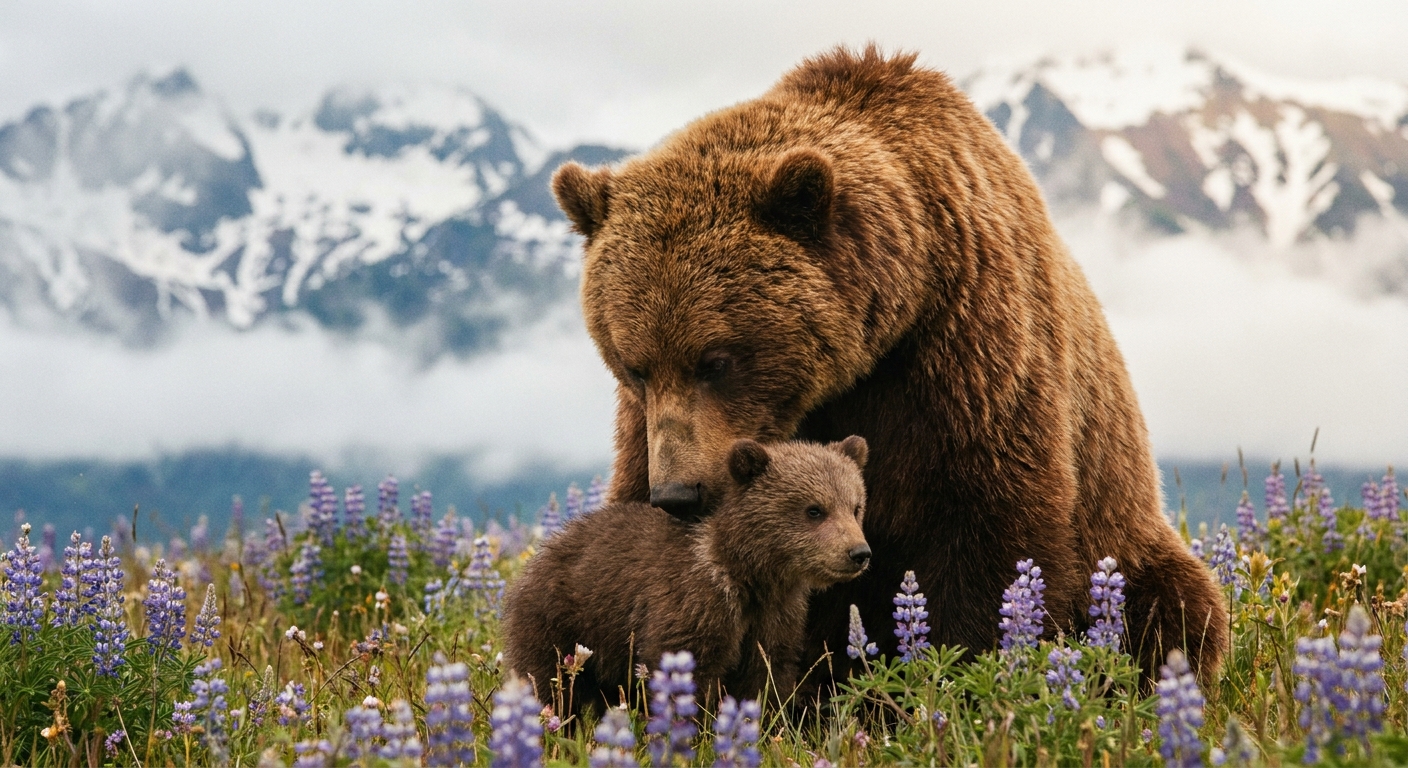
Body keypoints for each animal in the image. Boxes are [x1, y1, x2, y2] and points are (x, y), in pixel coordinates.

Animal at [501, 436, 872, 715]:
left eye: (855, 506)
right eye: (815, 509)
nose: (859, 553)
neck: (749, 576)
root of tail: (542, 552)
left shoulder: (775, 619)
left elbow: (766, 678)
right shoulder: (692, 605)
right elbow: (689, 674)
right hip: (560, 623)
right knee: (551, 686)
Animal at [550, 45, 1227, 682]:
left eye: (715, 359)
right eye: (634, 365)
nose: (679, 492)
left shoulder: (965, 356)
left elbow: (988, 538)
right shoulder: (651, 427)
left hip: (1126, 535)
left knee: (1175, 608)